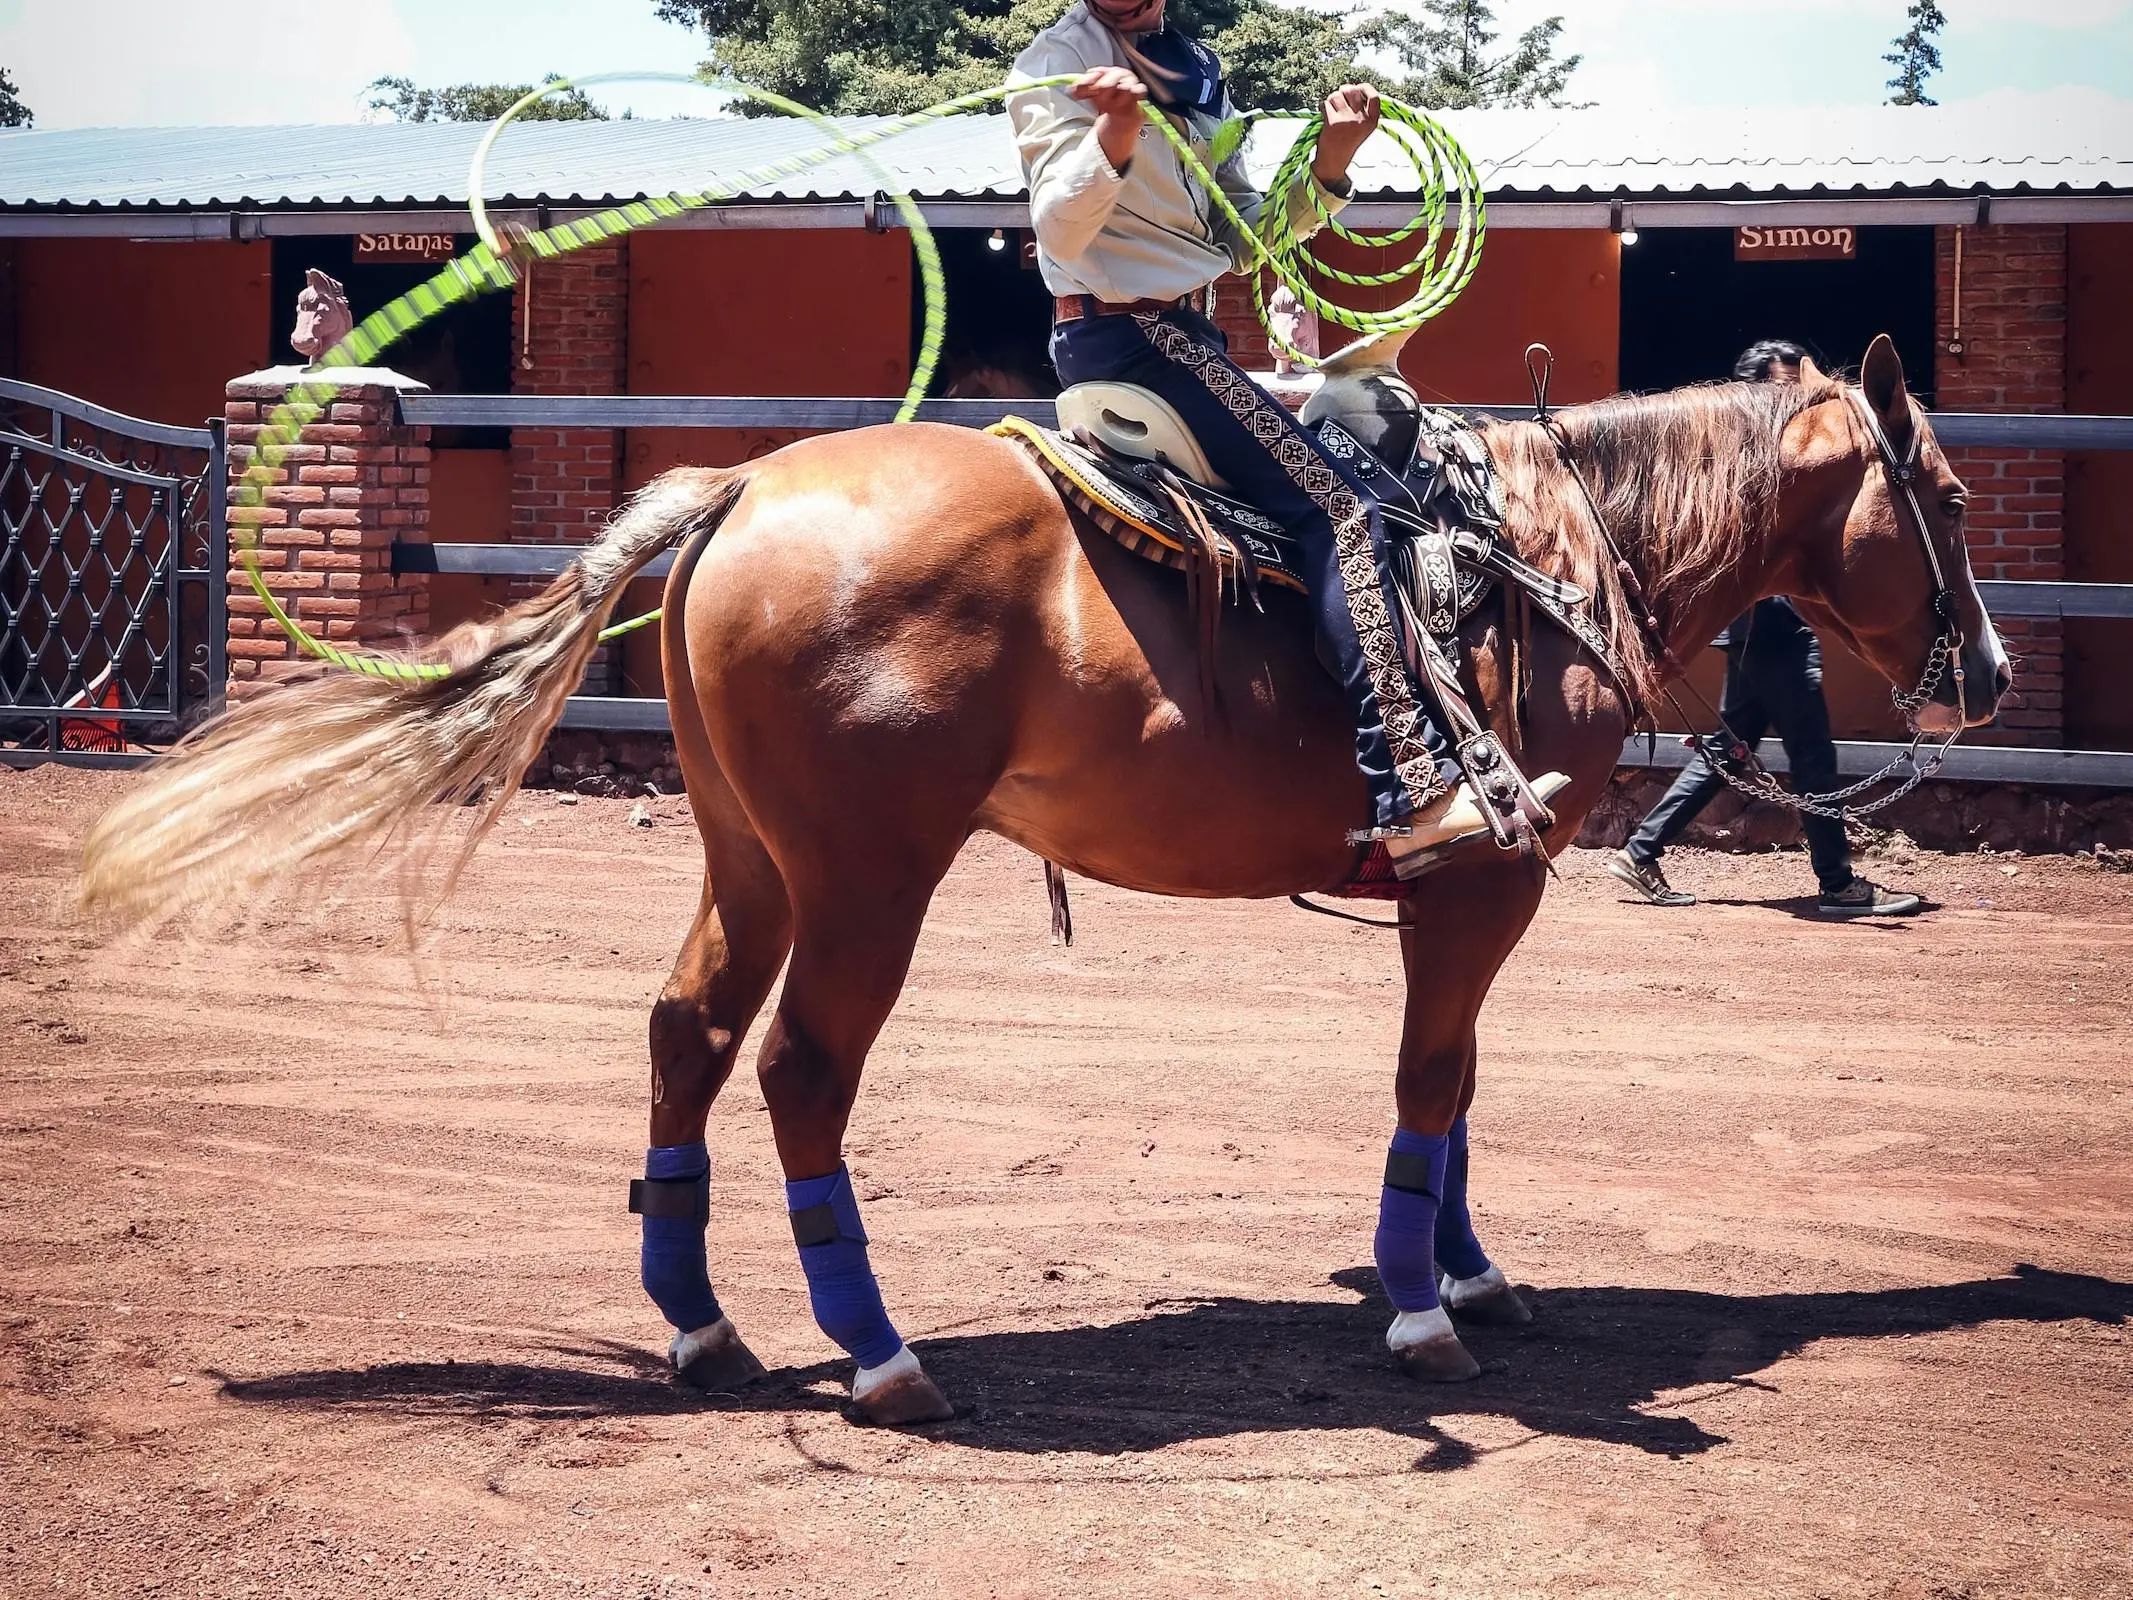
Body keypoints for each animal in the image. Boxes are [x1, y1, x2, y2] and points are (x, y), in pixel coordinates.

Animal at [78, 334, 2013, 1425]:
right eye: (1940, 489)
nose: (1986, 672)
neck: (1536, 554)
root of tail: (741, 494)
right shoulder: (1483, 879)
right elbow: (1432, 1081)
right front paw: (1420, 1311)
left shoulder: (1473, 884)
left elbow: (1456, 1091)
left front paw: (1468, 1275)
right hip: (866, 880)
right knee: (801, 1073)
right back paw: (878, 1354)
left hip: (748, 860)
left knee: (685, 1036)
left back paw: (704, 1328)